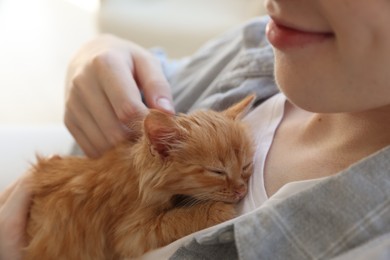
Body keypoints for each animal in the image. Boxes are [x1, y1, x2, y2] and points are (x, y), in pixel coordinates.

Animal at [25, 95, 256, 258]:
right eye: (217, 171)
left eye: (245, 166)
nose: (241, 190)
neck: (138, 179)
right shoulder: (130, 234)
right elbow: (174, 219)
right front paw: (213, 211)